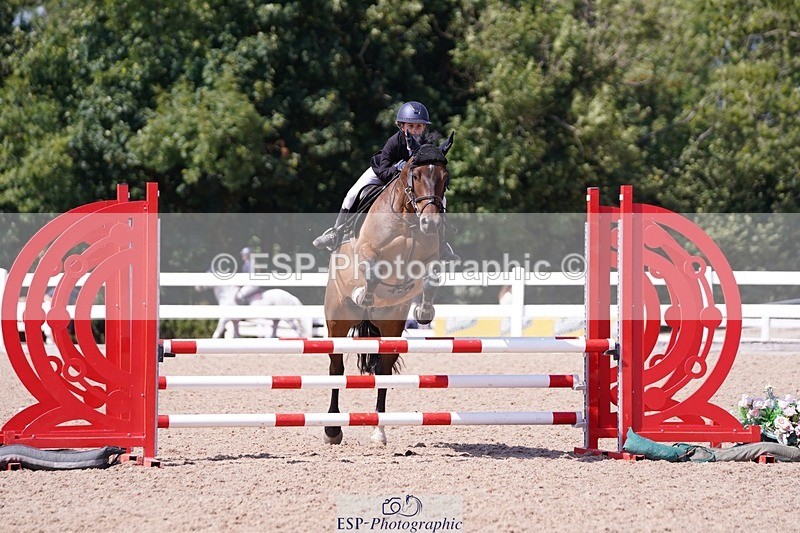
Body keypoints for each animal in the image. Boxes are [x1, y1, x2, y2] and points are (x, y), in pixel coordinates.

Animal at [322, 132, 454, 445]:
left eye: (445, 178)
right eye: (415, 175)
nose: (431, 223)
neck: (409, 219)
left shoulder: (431, 257)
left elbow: (431, 274)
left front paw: (425, 310)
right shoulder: (367, 250)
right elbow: (371, 267)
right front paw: (364, 293)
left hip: (391, 326)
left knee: (382, 370)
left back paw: (379, 430)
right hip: (337, 320)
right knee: (336, 367)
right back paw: (332, 429)